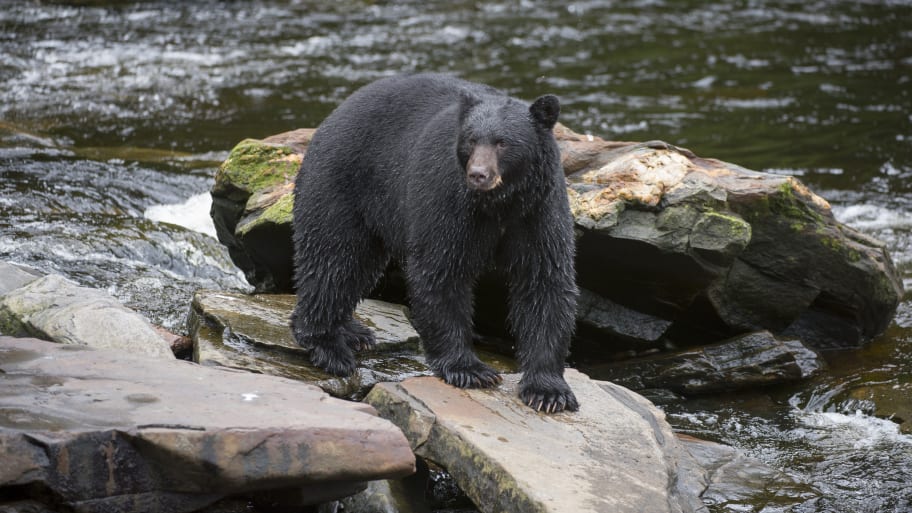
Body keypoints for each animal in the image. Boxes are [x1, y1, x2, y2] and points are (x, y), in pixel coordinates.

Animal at [290, 73, 576, 412]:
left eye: (503, 142)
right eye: (471, 140)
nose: (478, 174)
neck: (499, 204)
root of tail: (332, 116)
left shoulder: (538, 211)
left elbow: (544, 282)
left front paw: (548, 391)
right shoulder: (448, 200)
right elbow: (440, 272)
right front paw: (469, 369)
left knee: (358, 267)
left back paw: (353, 331)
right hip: (343, 184)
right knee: (334, 259)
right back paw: (328, 346)